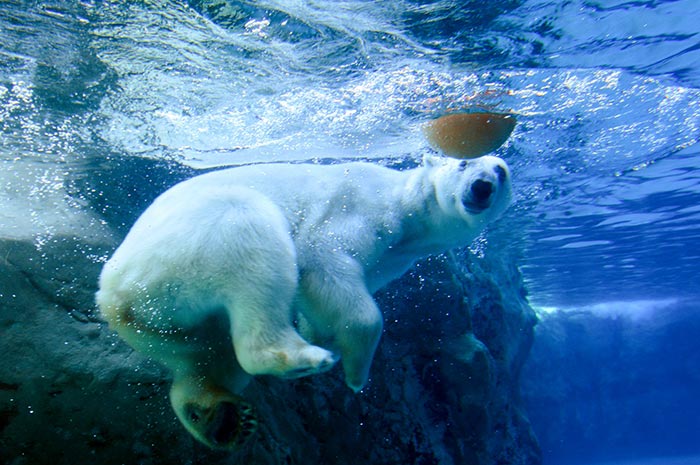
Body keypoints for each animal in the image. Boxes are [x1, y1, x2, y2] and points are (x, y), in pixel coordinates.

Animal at [95, 154, 512, 448]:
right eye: (464, 162)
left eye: (502, 171)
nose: (482, 186)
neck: (407, 209)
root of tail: (111, 296)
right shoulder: (360, 206)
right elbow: (322, 258)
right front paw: (355, 370)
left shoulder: (395, 258)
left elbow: (324, 296)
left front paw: (323, 334)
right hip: (181, 252)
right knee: (249, 232)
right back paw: (300, 358)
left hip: (171, 320)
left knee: (207, 358)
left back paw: (220, 420)